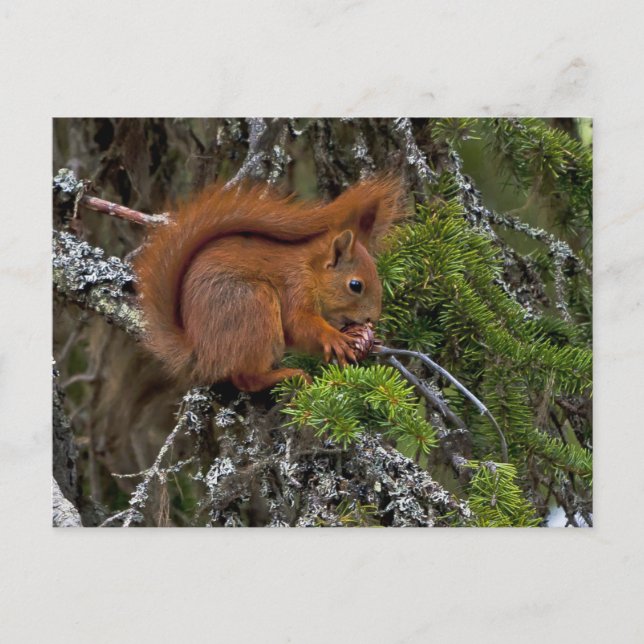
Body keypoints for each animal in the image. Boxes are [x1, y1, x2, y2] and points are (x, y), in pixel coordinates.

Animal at [134, 177, 404, 392]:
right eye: (355, 285)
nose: (372, 319)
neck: (310, 268)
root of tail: (201, 351)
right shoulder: (295, 287)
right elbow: (299, 323)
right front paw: (335, 337)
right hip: (254, 306)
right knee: (246, 379)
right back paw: (287, 375)